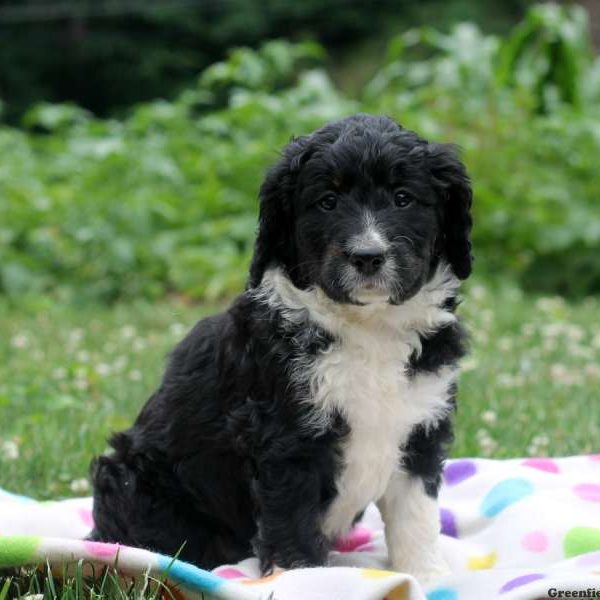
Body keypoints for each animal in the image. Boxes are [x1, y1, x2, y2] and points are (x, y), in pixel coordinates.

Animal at [90, 112, 474, 580]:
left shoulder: (420, 424)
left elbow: (415, 515)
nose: (367, 256)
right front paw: (305, 579)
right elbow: (291, 515)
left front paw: (426, 576)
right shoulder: (285, 434)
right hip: (133, 480)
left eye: (404, 199)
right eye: (327, 202)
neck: (370, 326)